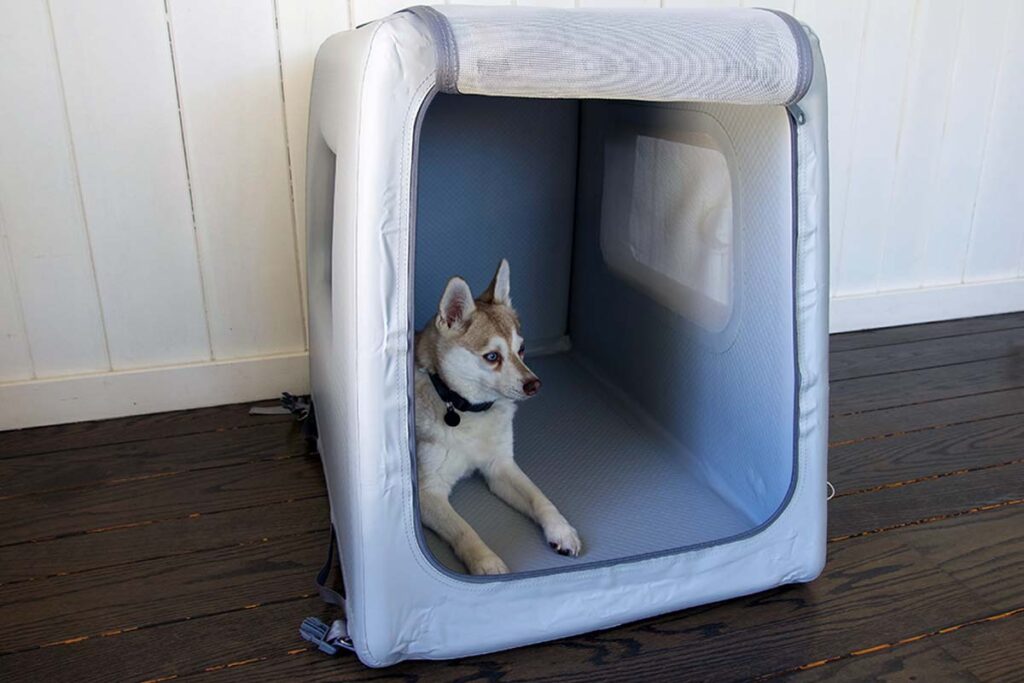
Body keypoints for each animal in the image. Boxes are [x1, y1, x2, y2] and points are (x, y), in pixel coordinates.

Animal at [411, 259, 581, 573]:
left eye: (521, 350)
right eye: (492, 357)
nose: (535, 384)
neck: (467, 411)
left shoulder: (500, 466)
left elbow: (539, 499)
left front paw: (561, 529)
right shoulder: (429, 492)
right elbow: (464, 529)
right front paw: (486, 561)